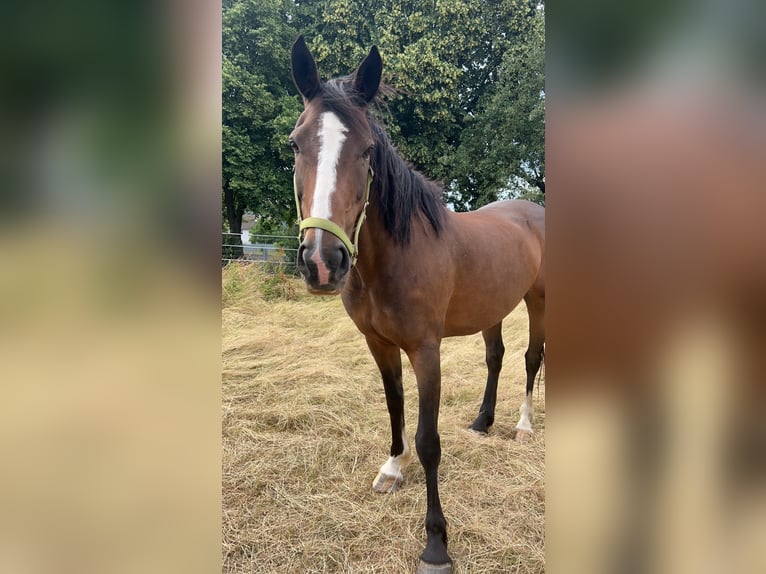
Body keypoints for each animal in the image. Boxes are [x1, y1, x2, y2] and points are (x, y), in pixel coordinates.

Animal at [289, 35, 545, 573]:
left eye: (368, 150)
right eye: (295, 144)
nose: (322, 261)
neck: (395, 256)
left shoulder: (426, 351)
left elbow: (429, 441)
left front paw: (435, 544)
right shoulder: (379, 345)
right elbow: (394, 408)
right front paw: (392, 468)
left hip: (539, 299)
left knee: (532, 358)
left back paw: (523, 426)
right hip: (494, 308)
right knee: (496, 357)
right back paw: (483, 423)